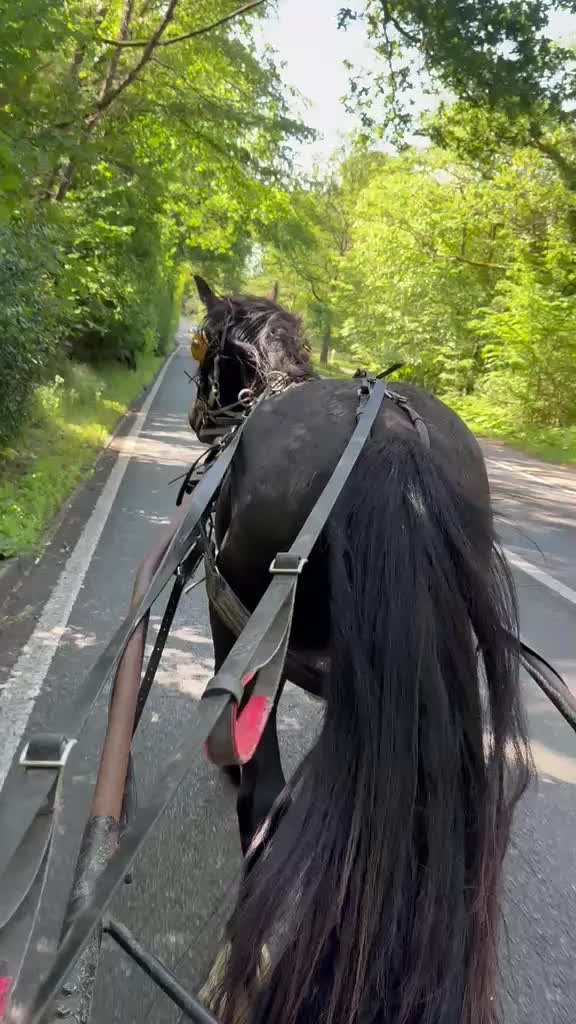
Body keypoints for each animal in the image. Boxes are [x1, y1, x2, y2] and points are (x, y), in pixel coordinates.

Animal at [187, 276, 532, 1024]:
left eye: (202, 342)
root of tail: (395, 440)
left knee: (267, 796)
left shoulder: (236, 622)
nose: (200, 417)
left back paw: (241, 968)